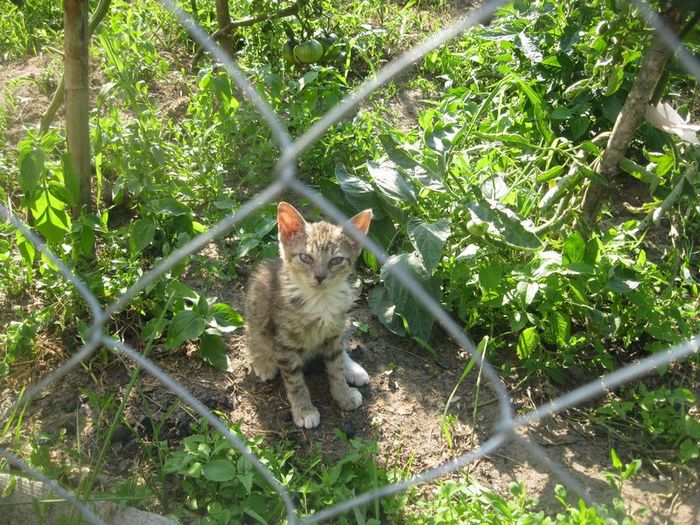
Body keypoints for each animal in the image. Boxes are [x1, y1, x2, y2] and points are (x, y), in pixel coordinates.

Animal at [244, 202, 373, 429]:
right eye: (305, 257)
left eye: (336, 260)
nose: (320, 277)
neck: (320, 300)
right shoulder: (284, 344)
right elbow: (295, 382)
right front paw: (304, 411)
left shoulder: (333, 332)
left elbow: (336, 368)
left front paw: (344, 394)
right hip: (256, 301)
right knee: (254, 336)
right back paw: (264, 362)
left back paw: (353, 368)